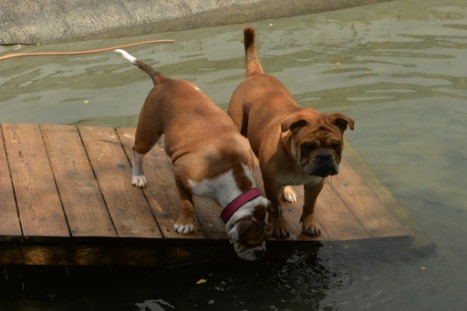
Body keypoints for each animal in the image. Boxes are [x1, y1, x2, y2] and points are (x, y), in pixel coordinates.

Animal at [115, 48, 270, 260]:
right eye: (251, 242)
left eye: (266, 237)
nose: (261, 252)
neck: (233, 171)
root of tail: (165, 80)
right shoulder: (182, 177)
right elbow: (187, 203)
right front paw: (185, 224)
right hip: (149, 131)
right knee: (137, 152)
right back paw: (138, 177)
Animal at [227, 28, 354, 239]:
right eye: (308, 146)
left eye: (336, 145)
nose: (325, 156)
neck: (297, 164)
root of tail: (257, 75)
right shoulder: (270, 184)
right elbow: (275, 208)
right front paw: (278, 227)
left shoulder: (315, 184)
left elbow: (310, 206)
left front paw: (309, 224)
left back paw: (287, 191)